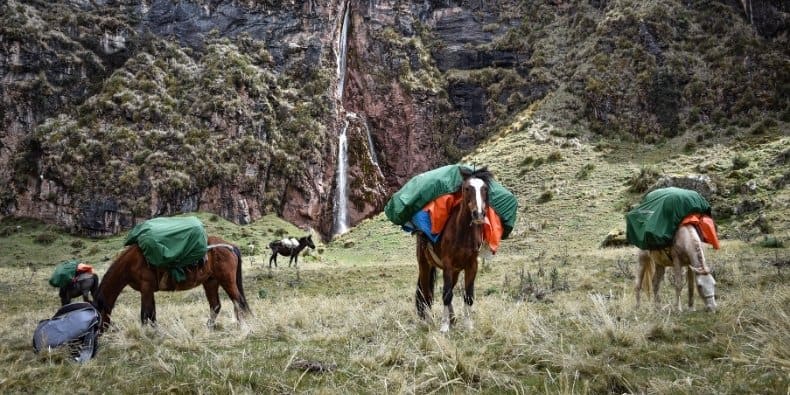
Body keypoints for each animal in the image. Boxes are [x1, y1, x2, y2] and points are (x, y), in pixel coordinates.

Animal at [94, 235, 252, 332]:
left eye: (96, 316)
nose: (99, 332)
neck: (131, 262)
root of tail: (230, 246)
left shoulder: (146, 288)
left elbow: (144, 314)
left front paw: (143, 335)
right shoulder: (149, 290)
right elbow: (152, 314)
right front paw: (156, 332)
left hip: (227, 281)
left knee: (238, 302)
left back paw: (242, 327)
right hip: (210, 282)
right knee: (216, 305)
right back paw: (209, 327)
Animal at [418, 166, 492, 332]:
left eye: (484, 188)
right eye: (466, 188)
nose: (479, 214)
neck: (462, 233)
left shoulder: (471, 265)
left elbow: (468, 295)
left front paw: (468, 325)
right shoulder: (447, 264)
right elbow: (446, 294)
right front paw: (444, 326)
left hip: (456, 271)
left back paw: (453, 319)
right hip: (425, 265)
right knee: (427, 293)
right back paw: (429, 321)